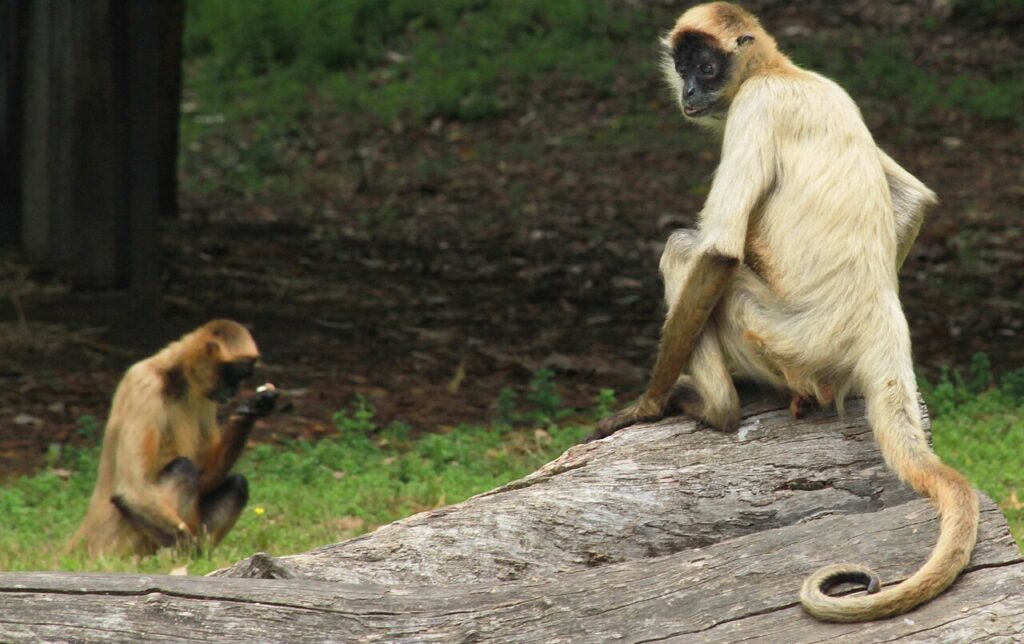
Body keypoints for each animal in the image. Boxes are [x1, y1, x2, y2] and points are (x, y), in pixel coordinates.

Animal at [69, 319, 279, 558]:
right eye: (231, 375)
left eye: (240, 378)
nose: (234, 391)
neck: (176, 379)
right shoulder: (146, 384)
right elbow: (132, 491)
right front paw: (195, 557)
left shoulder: (204, 396)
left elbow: (205, 480)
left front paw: (254, 407)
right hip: (125, 541)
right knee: (183, 467)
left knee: (237, 483)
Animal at [591, 2, 978, 623]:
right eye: (682, 67)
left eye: (706, 67)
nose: (690, 91)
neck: (784, 72)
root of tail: (878, 320)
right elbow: (915, 198)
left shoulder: (757, 104)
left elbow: (718, 252)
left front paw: (644, 407)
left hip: (774, 336)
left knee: (682, 247)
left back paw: (715, 407)